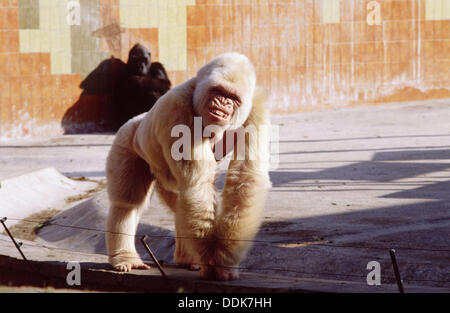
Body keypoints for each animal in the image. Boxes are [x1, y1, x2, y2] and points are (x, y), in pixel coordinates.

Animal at [106, 52, 270, 280]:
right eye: (218, 91)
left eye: (233, 98)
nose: (223, 102)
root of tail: (137, 119)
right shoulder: (176, 108)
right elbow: (197, 183)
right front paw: (212, 261)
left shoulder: (257, 109)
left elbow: (246, 178)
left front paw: (224, 261)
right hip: (126, 139)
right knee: (127, 203)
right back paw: (125, 257)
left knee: (180, 205)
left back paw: (187, 258)